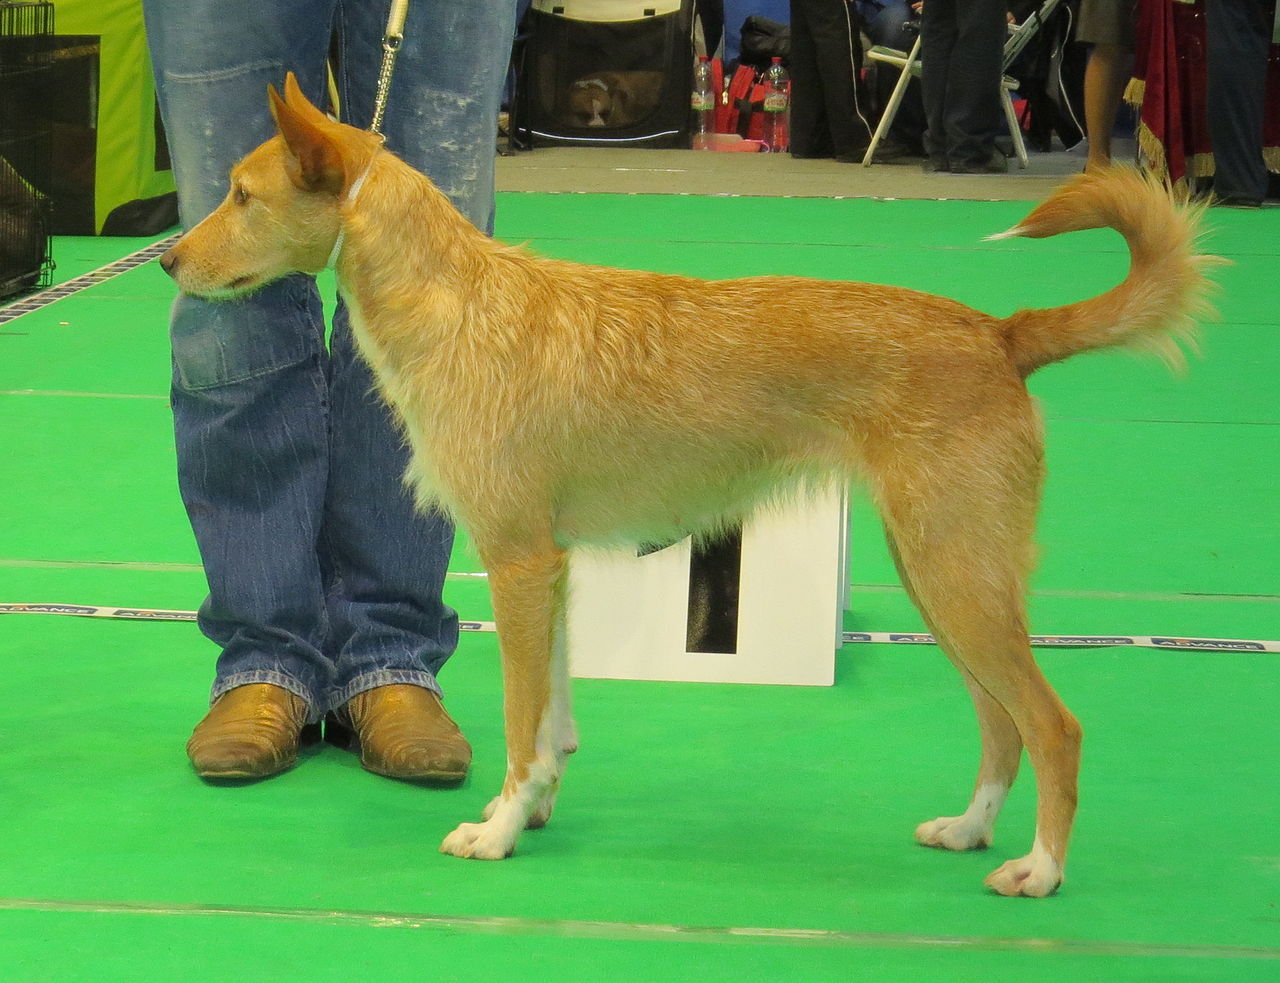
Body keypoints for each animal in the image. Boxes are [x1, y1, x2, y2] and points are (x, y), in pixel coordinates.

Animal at [165, 72, 1213, 895]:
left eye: (243, 195)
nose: (170, 258)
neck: (461, 304)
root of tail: (1001, 332)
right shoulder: (551, 571)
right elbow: (554, 721)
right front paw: (535, 809)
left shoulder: (516, 558)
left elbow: (520, 721)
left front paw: (496, 830)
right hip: (944, 575)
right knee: (1003, 723)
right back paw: (968, 829)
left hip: (959, 571)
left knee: (1055, 726)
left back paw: (1039, 868)